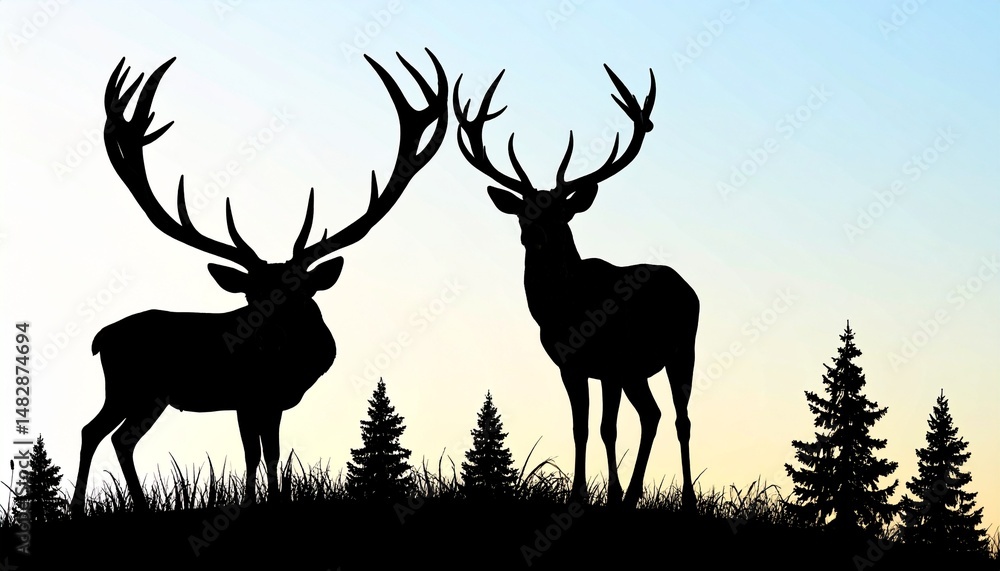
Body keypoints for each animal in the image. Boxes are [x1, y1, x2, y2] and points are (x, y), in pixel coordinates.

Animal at [70, 49, 447, 519]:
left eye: (301, 292)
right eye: (253, 295)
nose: (268, 339)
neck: (291, 368)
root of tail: (100, 338)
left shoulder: (274, 402)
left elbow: (272, 452)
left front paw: (274, 499)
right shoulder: (247, 396)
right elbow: (251, 453)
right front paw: (249, 504)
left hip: (150, 394)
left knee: (120, 437)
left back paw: (136, 505)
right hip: (129, 384)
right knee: (93, 430)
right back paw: (79, 507)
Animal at [453, 65, 699, 513]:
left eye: (560, 214)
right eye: (524, 213)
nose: (533, 235)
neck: (568, 312)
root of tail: (687, 287)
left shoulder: (612, 362)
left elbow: (606, 428)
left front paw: (610, 495)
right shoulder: (572, 365)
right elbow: (582, 428)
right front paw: (582, 497)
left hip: (680, 350)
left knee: (677, 417)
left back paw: (683, 499)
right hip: (637, 369)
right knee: (654, 415)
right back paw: (635, 495)